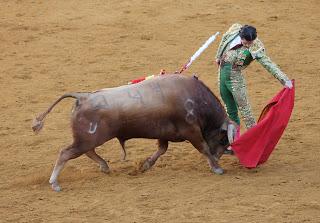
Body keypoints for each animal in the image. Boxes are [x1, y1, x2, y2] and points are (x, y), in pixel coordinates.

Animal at [32, 75, 236, 192]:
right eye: (223, 138)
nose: (219, 157)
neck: (194, 99)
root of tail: (83, 96)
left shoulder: (164, 133)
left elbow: (162, 149)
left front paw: (145, 165)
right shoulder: (191, 131)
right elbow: (203, 147)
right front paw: (216, 168)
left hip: (87, 140)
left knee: (88, 152)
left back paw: (104, 166)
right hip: (86, 140)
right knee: (65, 153)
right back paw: (54, 183)